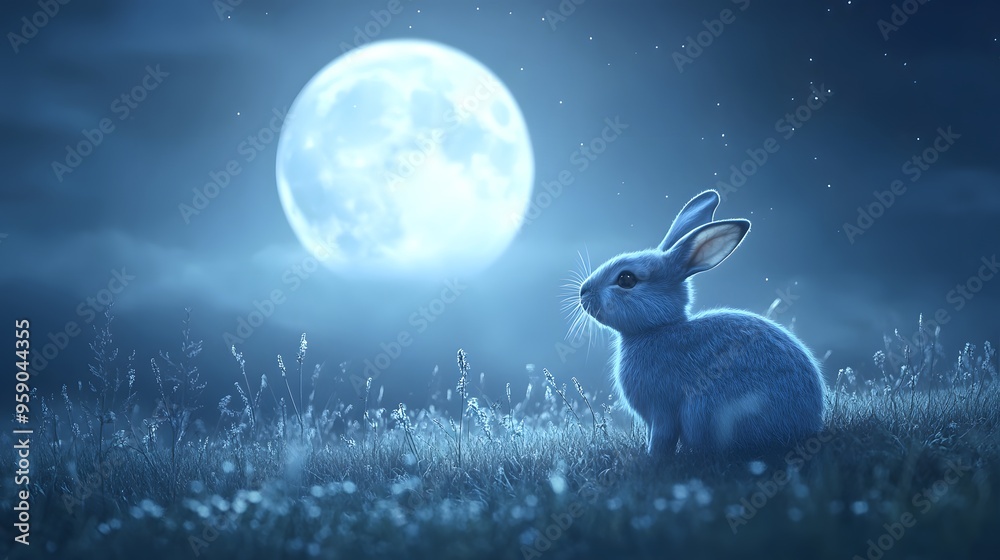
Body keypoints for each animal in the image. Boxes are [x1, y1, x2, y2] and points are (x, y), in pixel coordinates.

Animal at [577, 189, 826, 455]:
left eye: (626, 279)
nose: (583, 291)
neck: (657, 328)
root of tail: (807, 424)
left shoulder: (662, 410)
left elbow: (662, 438)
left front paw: (651, 459)